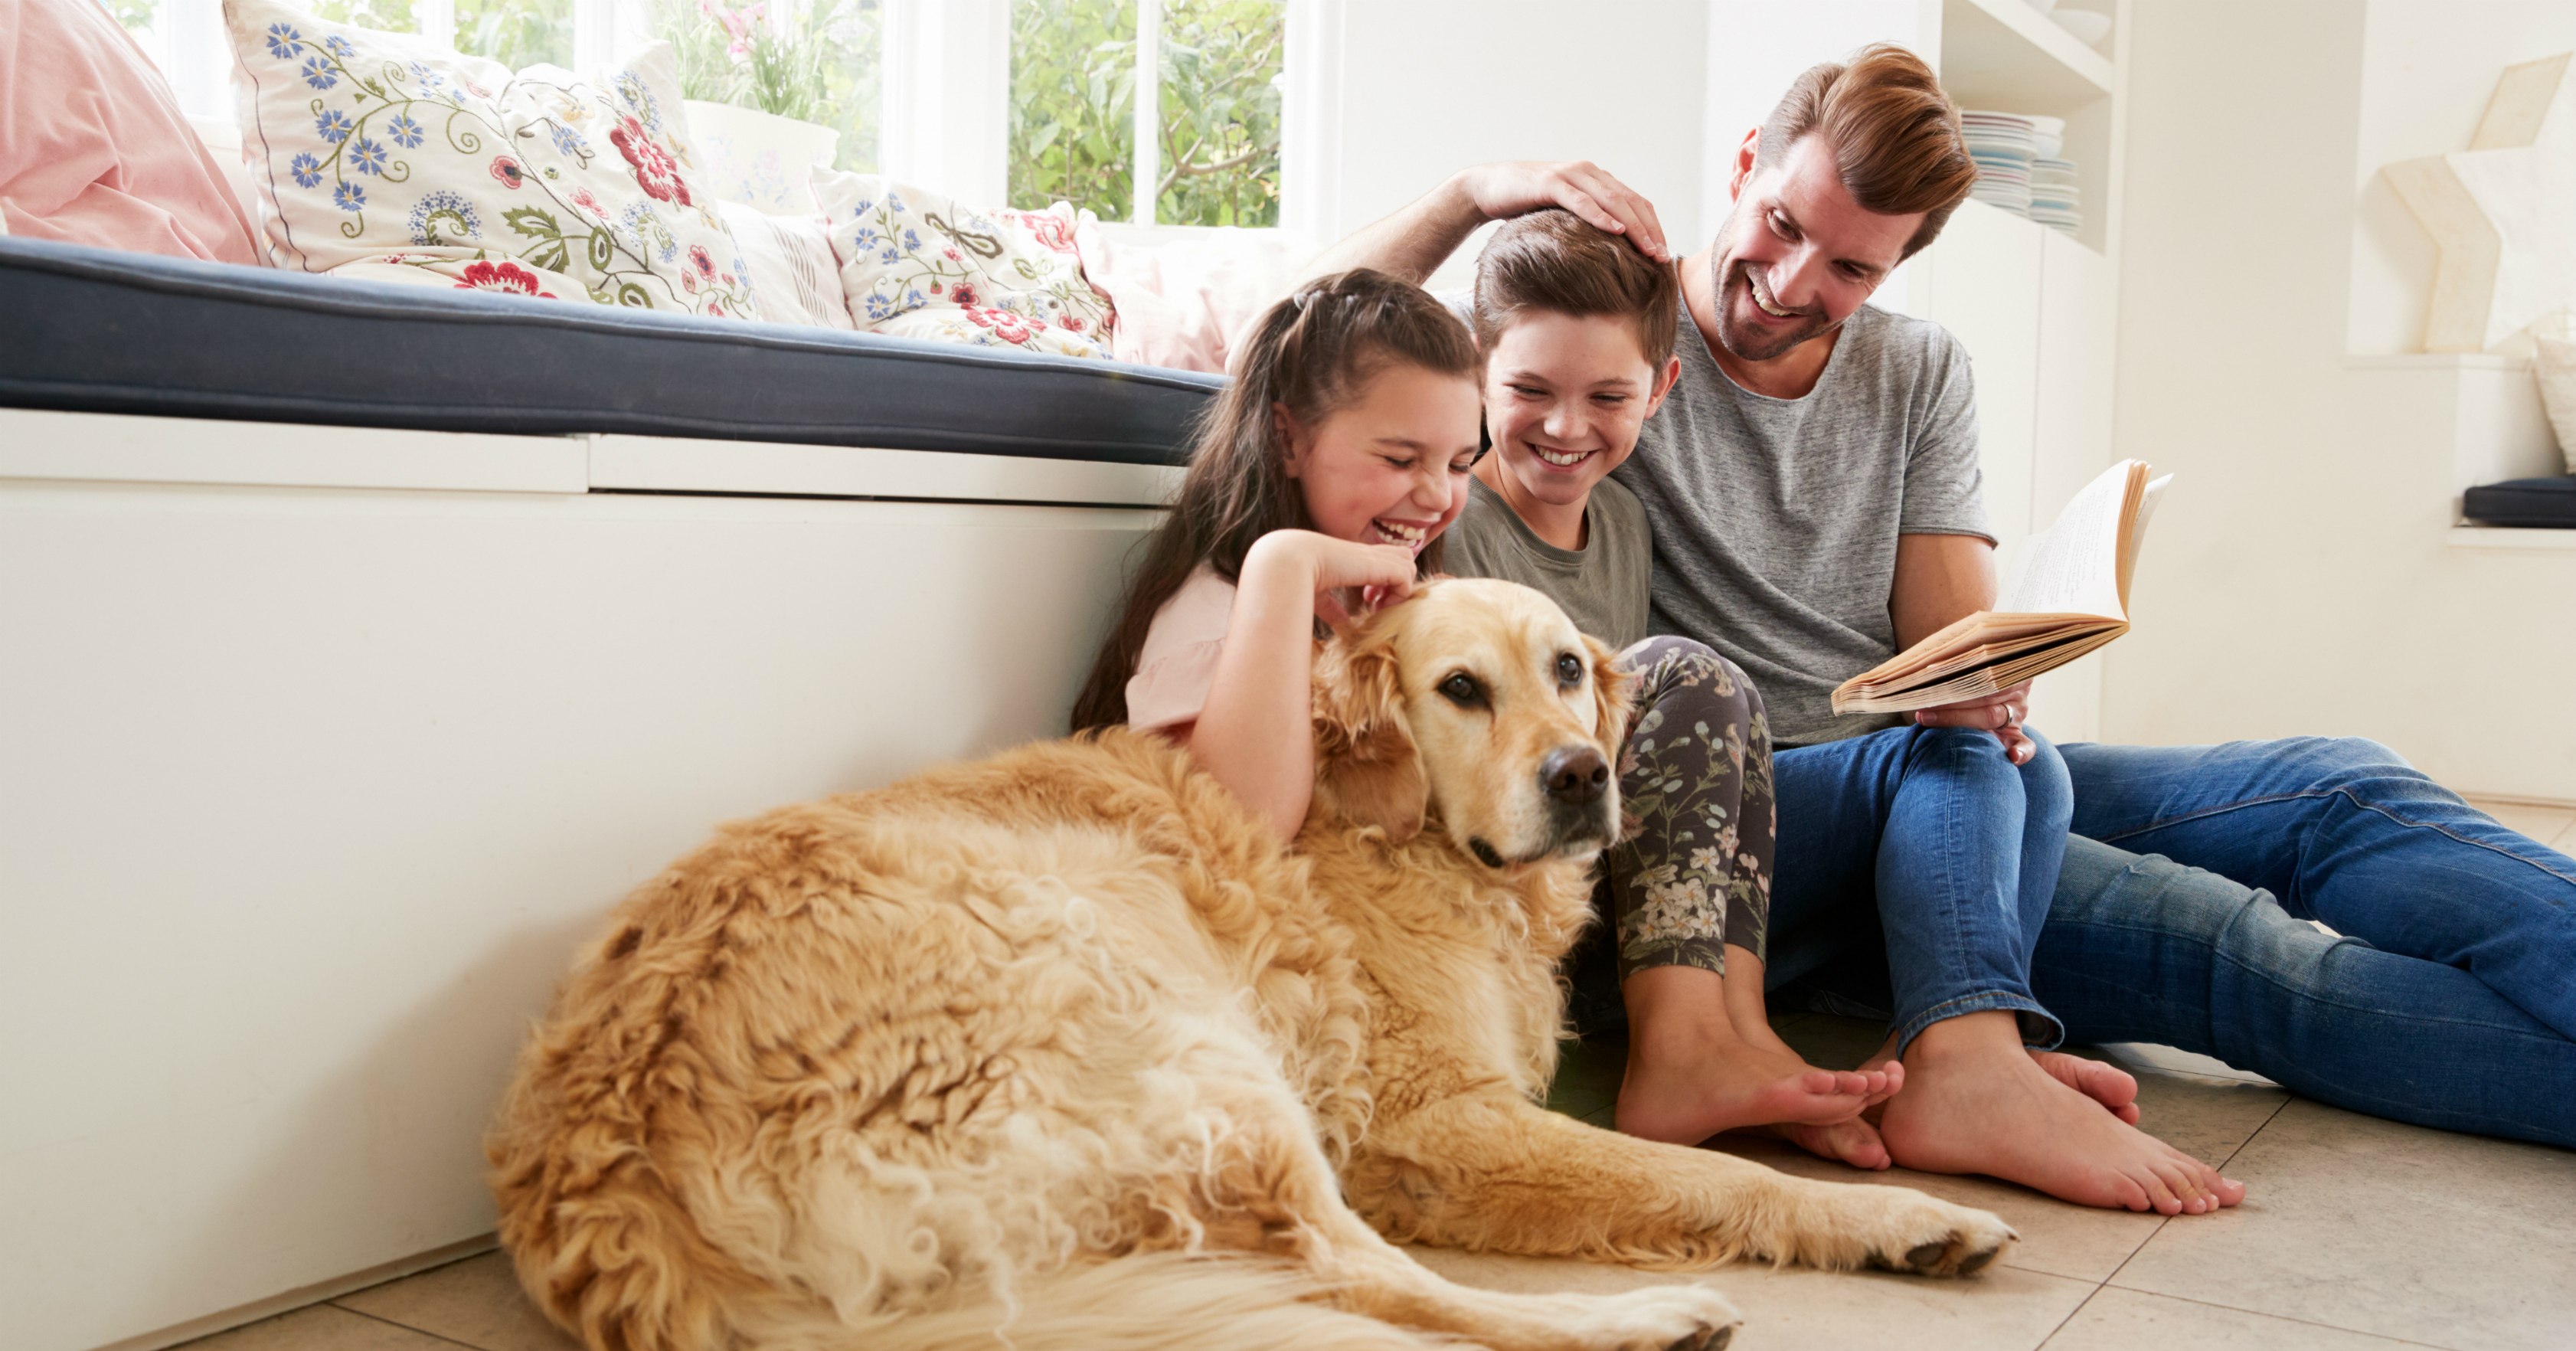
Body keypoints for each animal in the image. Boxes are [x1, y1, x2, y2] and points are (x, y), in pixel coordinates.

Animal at [484, 577, 2009, 1351]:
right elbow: (1719, 1174)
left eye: (1570, 668)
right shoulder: (1430, 1122)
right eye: (1460, 689)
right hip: (1184, 1040)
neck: (1405, 836)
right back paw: (1645, 1317)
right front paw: (1892, 1216)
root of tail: (618, 1184)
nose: (1583, 776)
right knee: (1355, 1279)